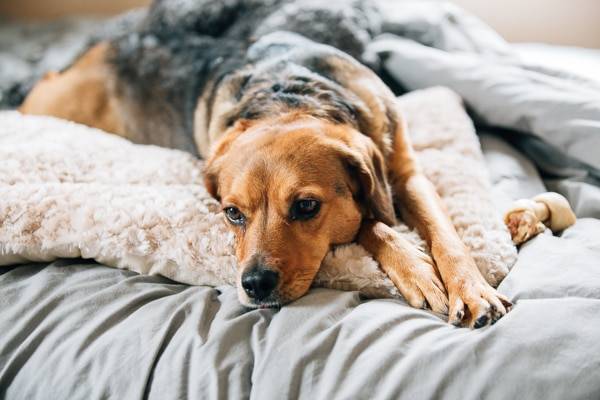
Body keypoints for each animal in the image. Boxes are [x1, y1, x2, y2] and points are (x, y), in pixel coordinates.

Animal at [21, 0, 512, 328]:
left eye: (306, 207)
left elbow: (444, 236)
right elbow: (372, 224)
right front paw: (416, 269)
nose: (253, 285)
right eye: (232, 213)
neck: (287, 94)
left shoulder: (407, 175)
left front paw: (471, 289)